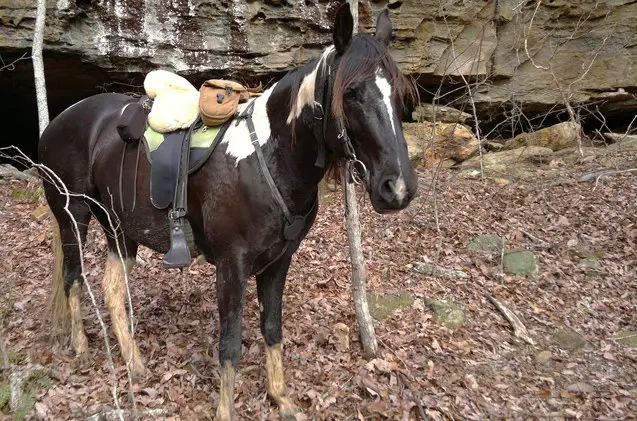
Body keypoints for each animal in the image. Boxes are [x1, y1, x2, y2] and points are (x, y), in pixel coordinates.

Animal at [38, 4, 418, 418]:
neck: (269, 157)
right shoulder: (231, 264)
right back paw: (81, 346)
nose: (398, 188)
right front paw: (227, 409)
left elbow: (272, 329)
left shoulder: (279, 262)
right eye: (350, 93)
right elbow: (231, 343)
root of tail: (59, 121)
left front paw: (280, 398)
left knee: (112, 290)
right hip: (73, 217)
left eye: (398, 93)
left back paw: (134, 363)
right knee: (72, 277)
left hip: (119, 230)